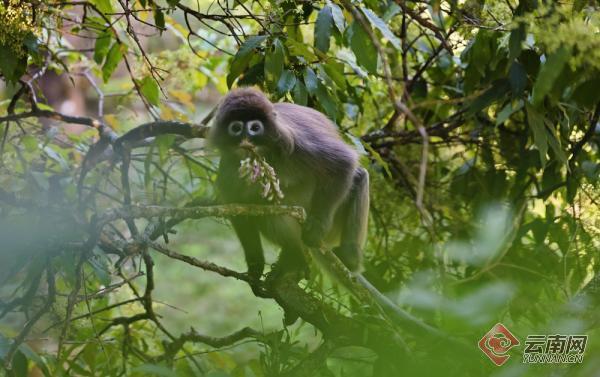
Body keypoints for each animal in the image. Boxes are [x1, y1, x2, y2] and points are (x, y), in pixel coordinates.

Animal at [211, 87, 370, 280]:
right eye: (236, 128)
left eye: (255, 128)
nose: (246, 139)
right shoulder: (228, 167)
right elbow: (238, 209)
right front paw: (256, 264)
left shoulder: (299, 142)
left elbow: (343, 163)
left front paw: (317, 226)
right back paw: (293, 258)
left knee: (359, 175)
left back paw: (349, 256)